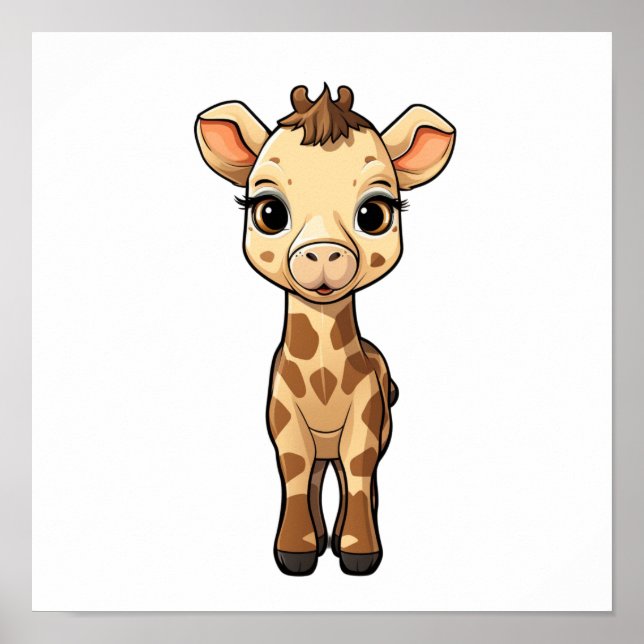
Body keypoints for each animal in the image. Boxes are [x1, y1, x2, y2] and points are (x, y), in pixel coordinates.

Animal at [195, 84, 455, 576]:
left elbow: (359, 471)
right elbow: (296, 474)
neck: (322, 380)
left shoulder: (367, 417)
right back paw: (319, 538)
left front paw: (358, 552)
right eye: (269, 212)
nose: (322, 254)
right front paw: (296, 552)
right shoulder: (283, 421)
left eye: (374, 214)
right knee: (317, 474)